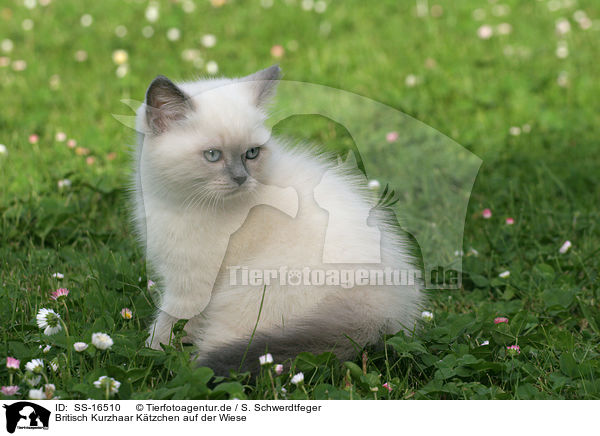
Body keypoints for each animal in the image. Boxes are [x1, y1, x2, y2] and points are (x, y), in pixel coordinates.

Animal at [132, 65, 422, 374]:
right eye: (212, 155)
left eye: (251, 153)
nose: (241, 178)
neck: (175, 200)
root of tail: (376, 313)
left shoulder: (188, 284)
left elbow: (167, 326)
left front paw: (149, 353)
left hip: (244, 295)